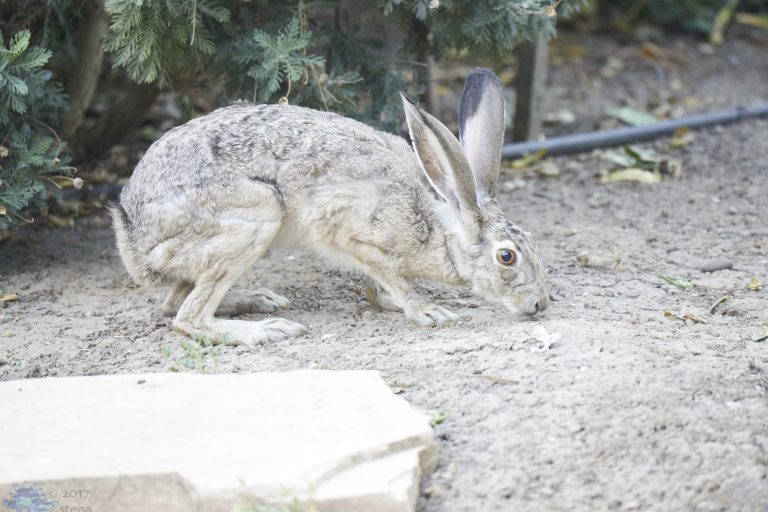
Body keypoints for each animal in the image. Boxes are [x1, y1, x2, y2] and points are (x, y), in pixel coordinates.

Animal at [110, 68, 549, 346]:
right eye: (506, 257)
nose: (540, 304)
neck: (436, 230)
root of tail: (132, 236)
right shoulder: (348, 235)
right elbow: (391, 277)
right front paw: (429, 311)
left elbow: (381, 287)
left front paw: (394, 302)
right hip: (258, 214)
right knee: (188, 318)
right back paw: (268, 330)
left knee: (173, 301)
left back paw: (259, 300)